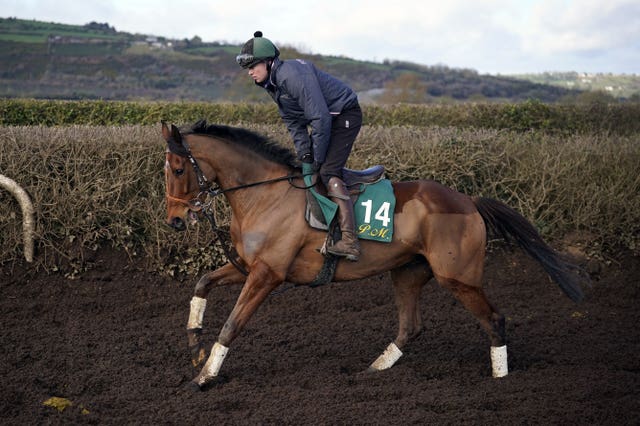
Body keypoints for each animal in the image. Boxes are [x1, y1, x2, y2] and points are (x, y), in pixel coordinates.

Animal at [162, 120, 588, 390]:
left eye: (179, 168)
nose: (175, 221)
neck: (264, 193)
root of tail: (469, 201)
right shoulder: (248, 266)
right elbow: (202, 284)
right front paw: (195, 348)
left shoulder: (267, 274)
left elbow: (232, 324)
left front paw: (205, 377)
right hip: (408, 272)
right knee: (411, 326)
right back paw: (374, 369)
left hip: (458, 277)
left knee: (494, 319)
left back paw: (501, 379)